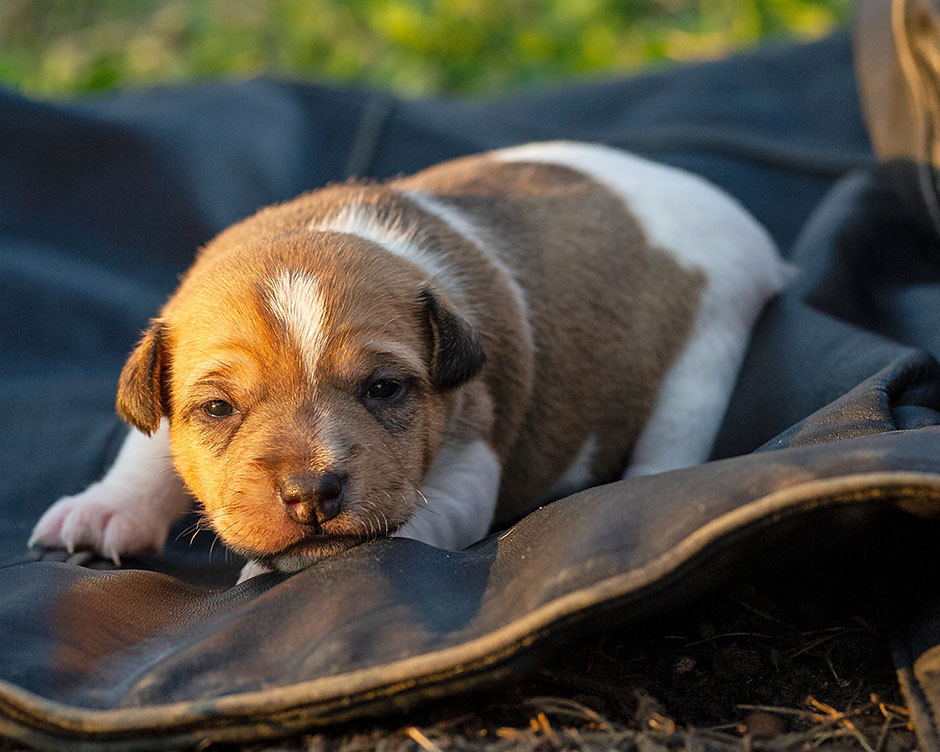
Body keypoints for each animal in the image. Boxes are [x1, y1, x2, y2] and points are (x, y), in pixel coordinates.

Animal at [29, 141, 788, 576]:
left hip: (706, 350)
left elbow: (409, 527)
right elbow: (146, 448)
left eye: (385, 389)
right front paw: (105, 509)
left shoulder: (469, 469)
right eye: (217, 408)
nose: (311, 494)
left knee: (673, 441)